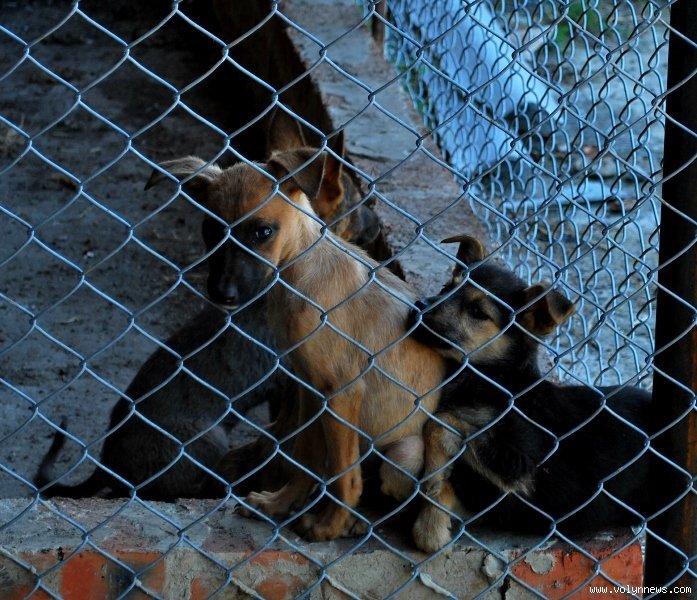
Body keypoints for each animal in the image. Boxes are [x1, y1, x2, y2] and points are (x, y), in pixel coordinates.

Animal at [34, 111, 382, 501]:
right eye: (211, 230)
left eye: (262, 233)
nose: (221, 294)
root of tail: (106, 463)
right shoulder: (291, 380)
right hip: (205, 440)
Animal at [394, 235, 658, 552]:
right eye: (447, 288)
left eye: (478, 312)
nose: (417, 306)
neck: (497, 381)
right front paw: (432, 518)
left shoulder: (529, 473)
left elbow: (441, 424)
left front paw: (430, 513)